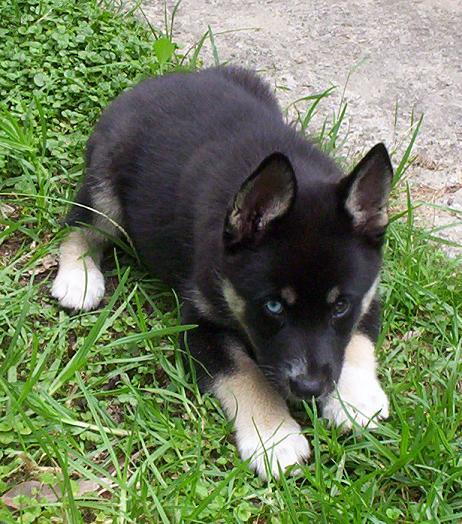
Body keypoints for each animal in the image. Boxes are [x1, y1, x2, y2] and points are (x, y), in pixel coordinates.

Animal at [52, 67, 392, 482]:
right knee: (82, 225)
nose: (310, 388)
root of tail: (161, 80)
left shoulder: (370, 291)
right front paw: (274, 438)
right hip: (106, 181)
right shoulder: (199, 323)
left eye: (341, 305)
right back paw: (79, 276)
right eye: (273, 306)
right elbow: (245, 373)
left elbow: (358, 337)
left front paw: (355, 399)